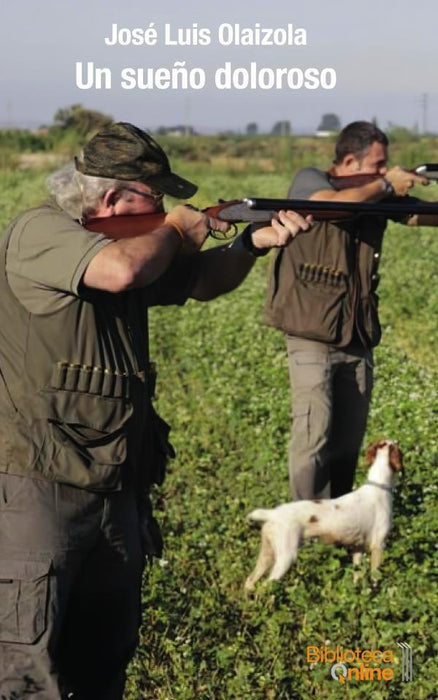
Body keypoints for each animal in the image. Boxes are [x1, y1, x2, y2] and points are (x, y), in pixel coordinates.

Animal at [245, 440, 402, 588]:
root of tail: (273, 514)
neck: (379, 487)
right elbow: (376, 577)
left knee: (250, 581)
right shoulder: (378, 545)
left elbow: (357, 575)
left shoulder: (358, 548)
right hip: (285, 557)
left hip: (267, 555)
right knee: (266, 586)